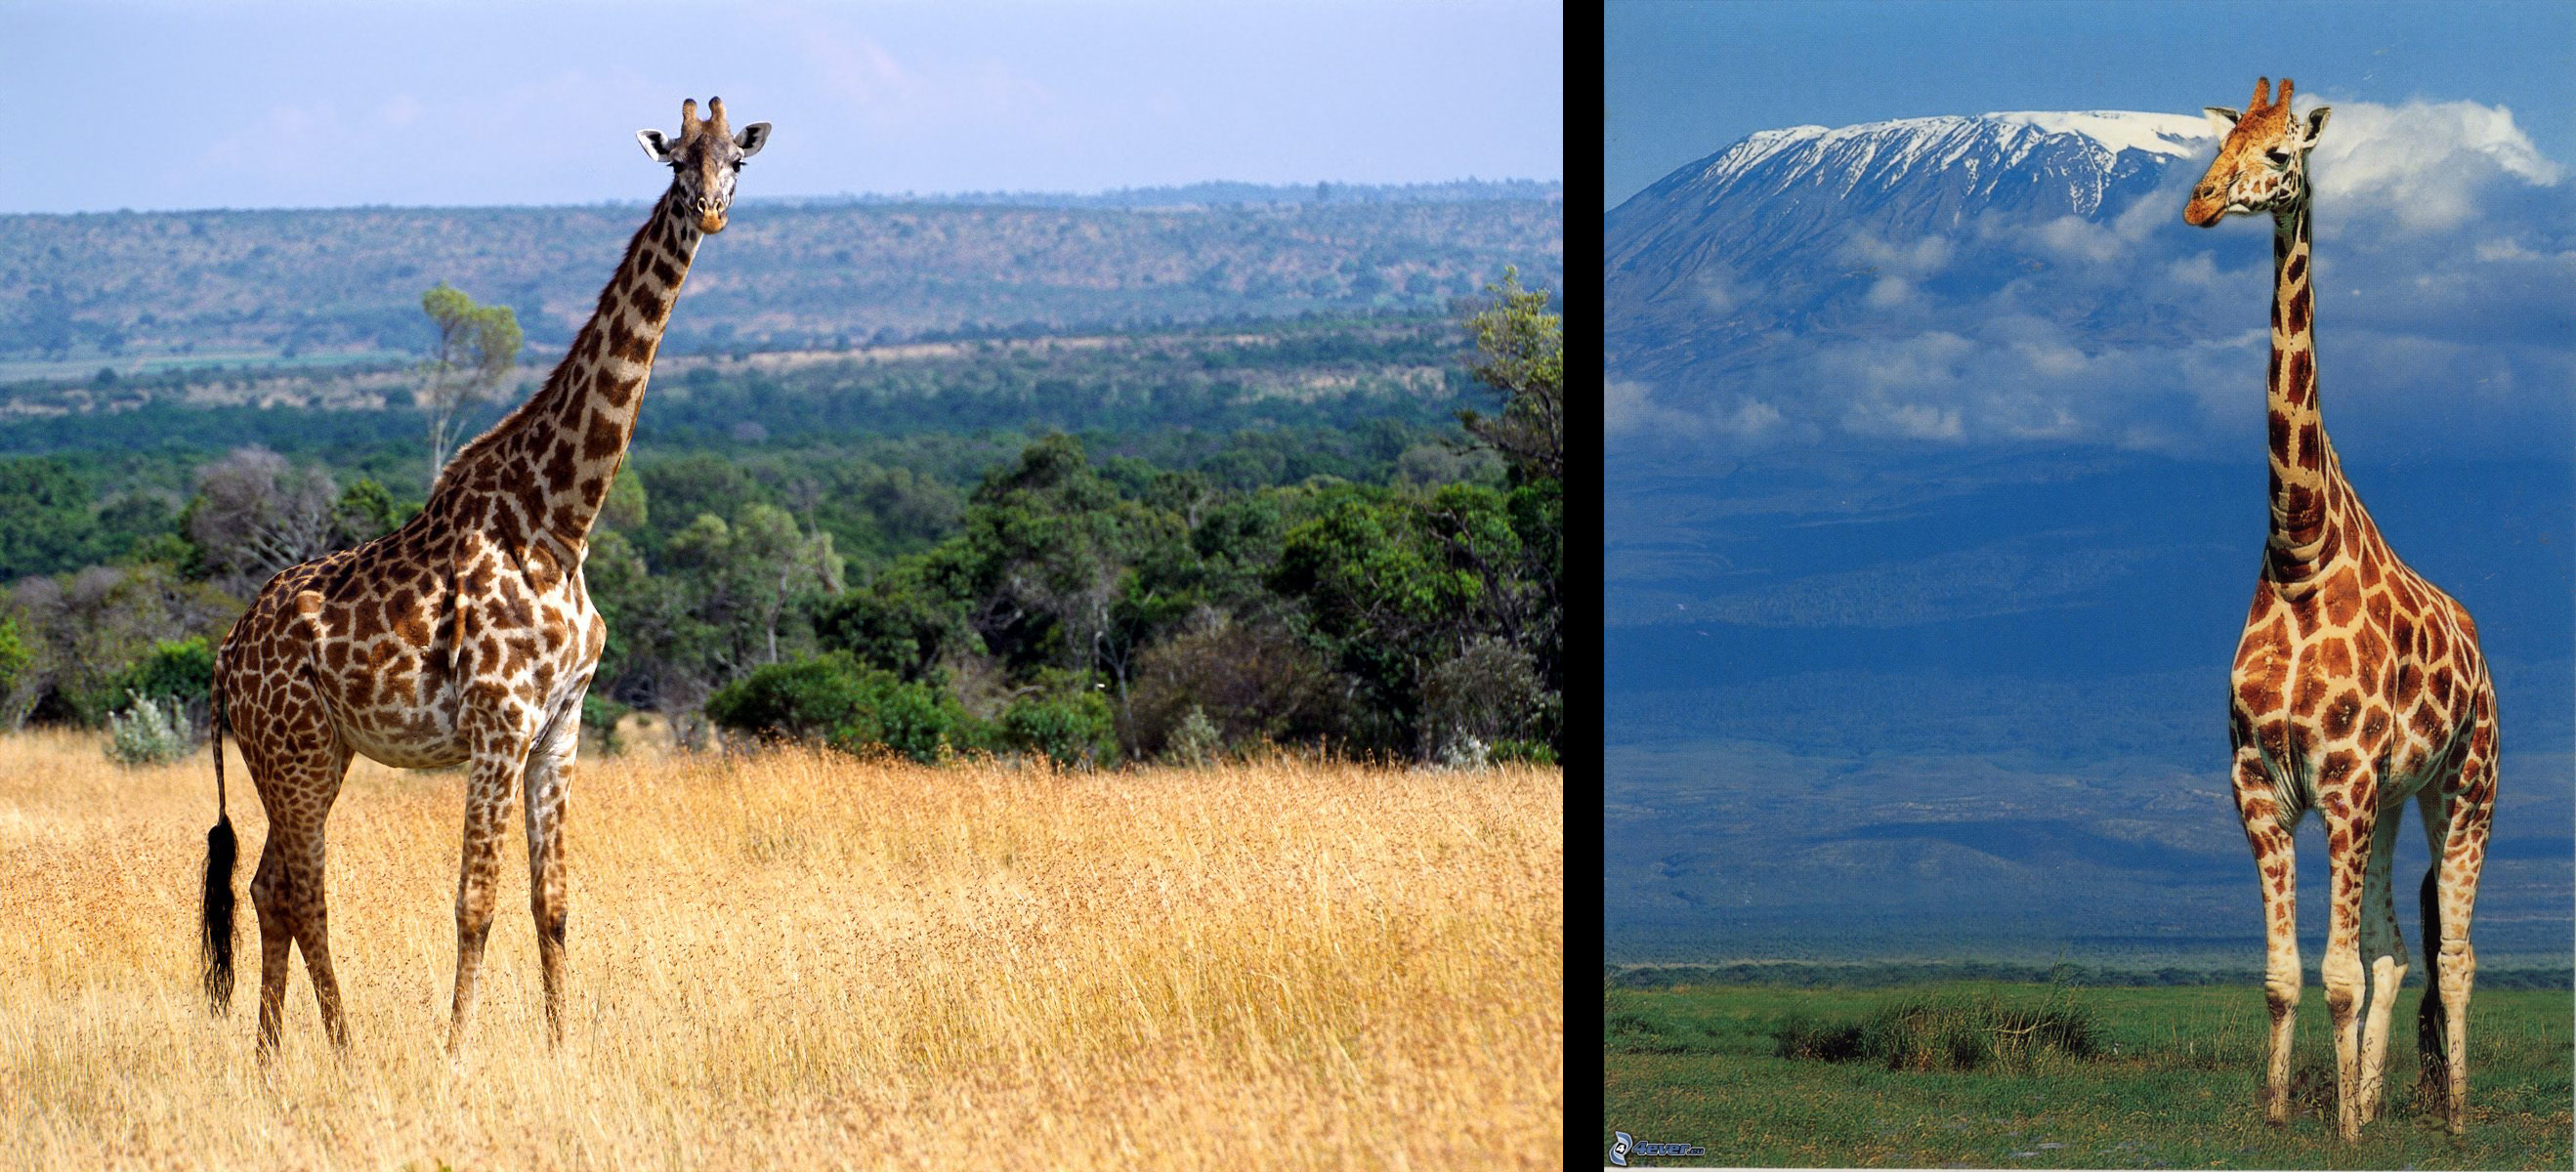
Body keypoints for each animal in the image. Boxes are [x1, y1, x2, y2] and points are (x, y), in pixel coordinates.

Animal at [196, 96, 767, 1061]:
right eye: (673, 162)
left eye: (736, 160)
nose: (709, 211)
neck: (562, 523)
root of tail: (226, 656)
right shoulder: (500, 724)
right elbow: (475, 902)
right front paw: (455, 1052)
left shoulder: (560, 726)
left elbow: (553, 902)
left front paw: (560, 1044)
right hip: (295, 750)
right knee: (305, 891)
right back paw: (344, 1051)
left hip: (315, 753)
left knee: (269, 885)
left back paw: (272, 1058)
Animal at [2194, 77, 2493, 1143]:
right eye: (2218, 146)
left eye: (2280, 155)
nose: (2200, 203)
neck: (2298, 552)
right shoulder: (2262, 784)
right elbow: (2288, 977)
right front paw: (2290, 1114)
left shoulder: (2348, 781)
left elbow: (2332, 976)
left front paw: (2345, 1136)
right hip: (2400, 799)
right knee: (2395, 947)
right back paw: (2370, 1094)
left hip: (2465, 786)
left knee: (2453, 952)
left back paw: (2452, 1118)